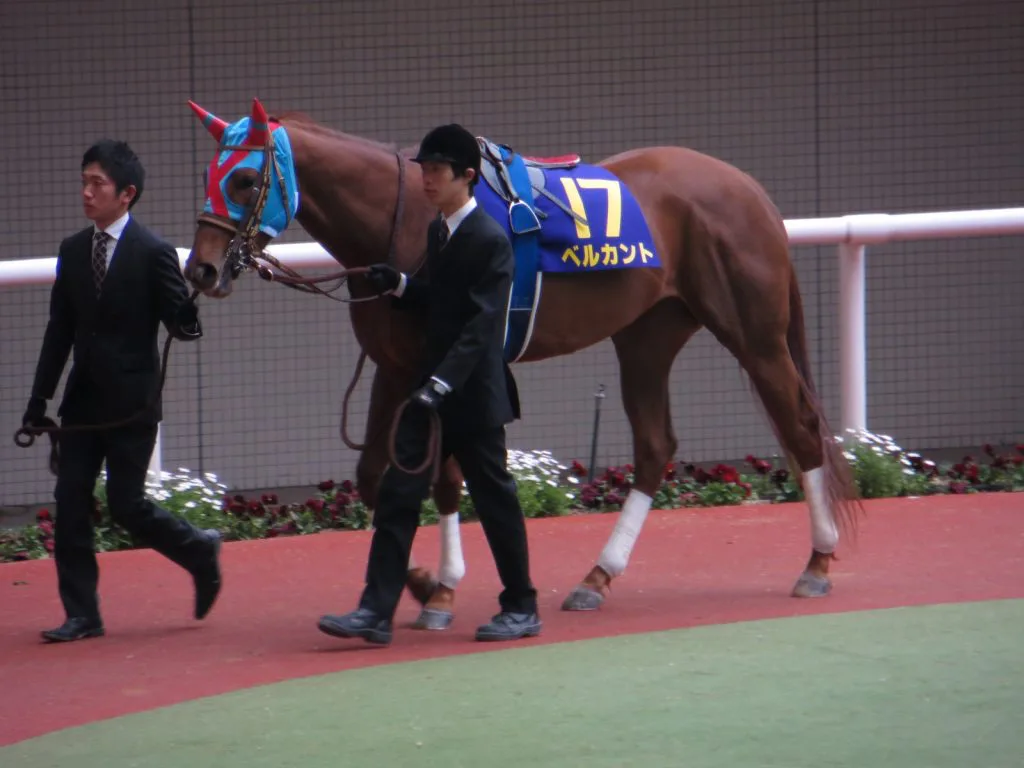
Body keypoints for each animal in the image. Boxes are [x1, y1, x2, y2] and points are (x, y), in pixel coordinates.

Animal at [182, 97, 862, 625]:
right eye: (210, 174)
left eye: (245, 180)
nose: (203, 269)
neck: (407, 216)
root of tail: (748, 188)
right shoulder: (394, 366)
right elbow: (384, 477)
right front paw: (426, 584)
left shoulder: (435, 365)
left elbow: (440, 478)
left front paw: (437, 588)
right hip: (646, 336)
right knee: (655, 445)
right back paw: (597, 577)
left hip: (755, 336)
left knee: (800, 430)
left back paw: (818, 563)